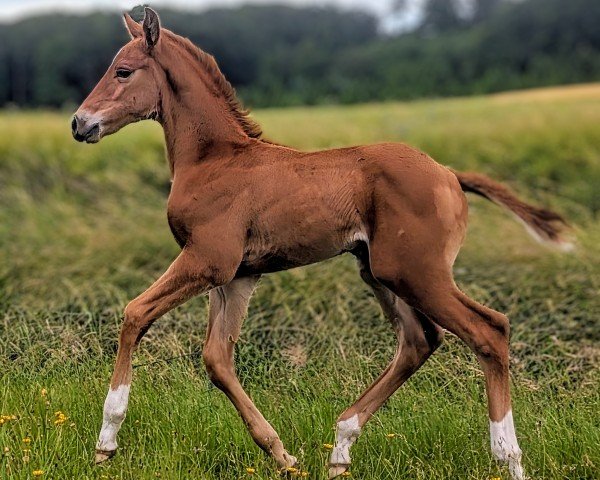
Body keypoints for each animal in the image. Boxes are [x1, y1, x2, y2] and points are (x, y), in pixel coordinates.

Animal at [72, 8, 568, 480]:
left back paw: (509, 459)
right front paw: (282, 456)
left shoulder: (208, 261)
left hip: (416, 273)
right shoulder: (238, 276)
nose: (80, 124)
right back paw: (341, 447)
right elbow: (217, 359)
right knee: (419, 340)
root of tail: (449, 175)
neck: (216, 159)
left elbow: (135, 313)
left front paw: (105, 442)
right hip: (381, 272)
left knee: (489, 329)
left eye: (123, 71)